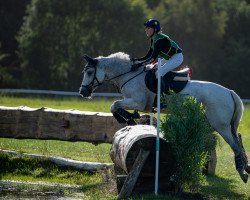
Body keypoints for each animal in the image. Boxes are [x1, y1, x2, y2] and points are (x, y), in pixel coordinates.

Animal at [79, 52, 250, 183]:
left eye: (89, 72)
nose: (83, 92)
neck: (129, 75)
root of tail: (229, 92)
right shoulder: (138, 104)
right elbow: (115, 106)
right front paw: (131, 117)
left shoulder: (137, 102)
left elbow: (114, 105)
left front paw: (128, 118)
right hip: (220, 124)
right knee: (238, 139)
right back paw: (246, 167)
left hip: (220, 125)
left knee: (235, 145)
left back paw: (243, 173)